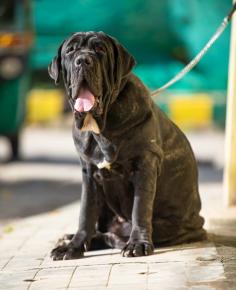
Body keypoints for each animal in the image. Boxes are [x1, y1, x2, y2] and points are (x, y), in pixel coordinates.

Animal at [48, 31, 206, 260]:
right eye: (70, 51)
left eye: (100, 49)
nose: (83, 60)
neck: (101, 127)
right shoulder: (89, 173)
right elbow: (85, 213)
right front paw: (73, 247)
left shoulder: (145, 165)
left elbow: (140, 208)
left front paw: (138, 243)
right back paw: (70, 238)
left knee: (115, 235)